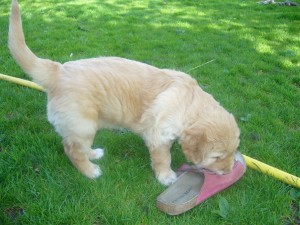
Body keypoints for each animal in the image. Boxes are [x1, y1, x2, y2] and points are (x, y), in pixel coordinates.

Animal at [8, 0, 240, 185]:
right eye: (216, 157)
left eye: (232, 152)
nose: (228, 171)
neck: (189, 104)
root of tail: (57, 71)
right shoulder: (158, 134)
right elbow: (163, 158)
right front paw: (166, 176)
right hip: (82, 124)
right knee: (72, 150)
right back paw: (90, 171)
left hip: (84, 126)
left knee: (79, 146)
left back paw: (94, 153)